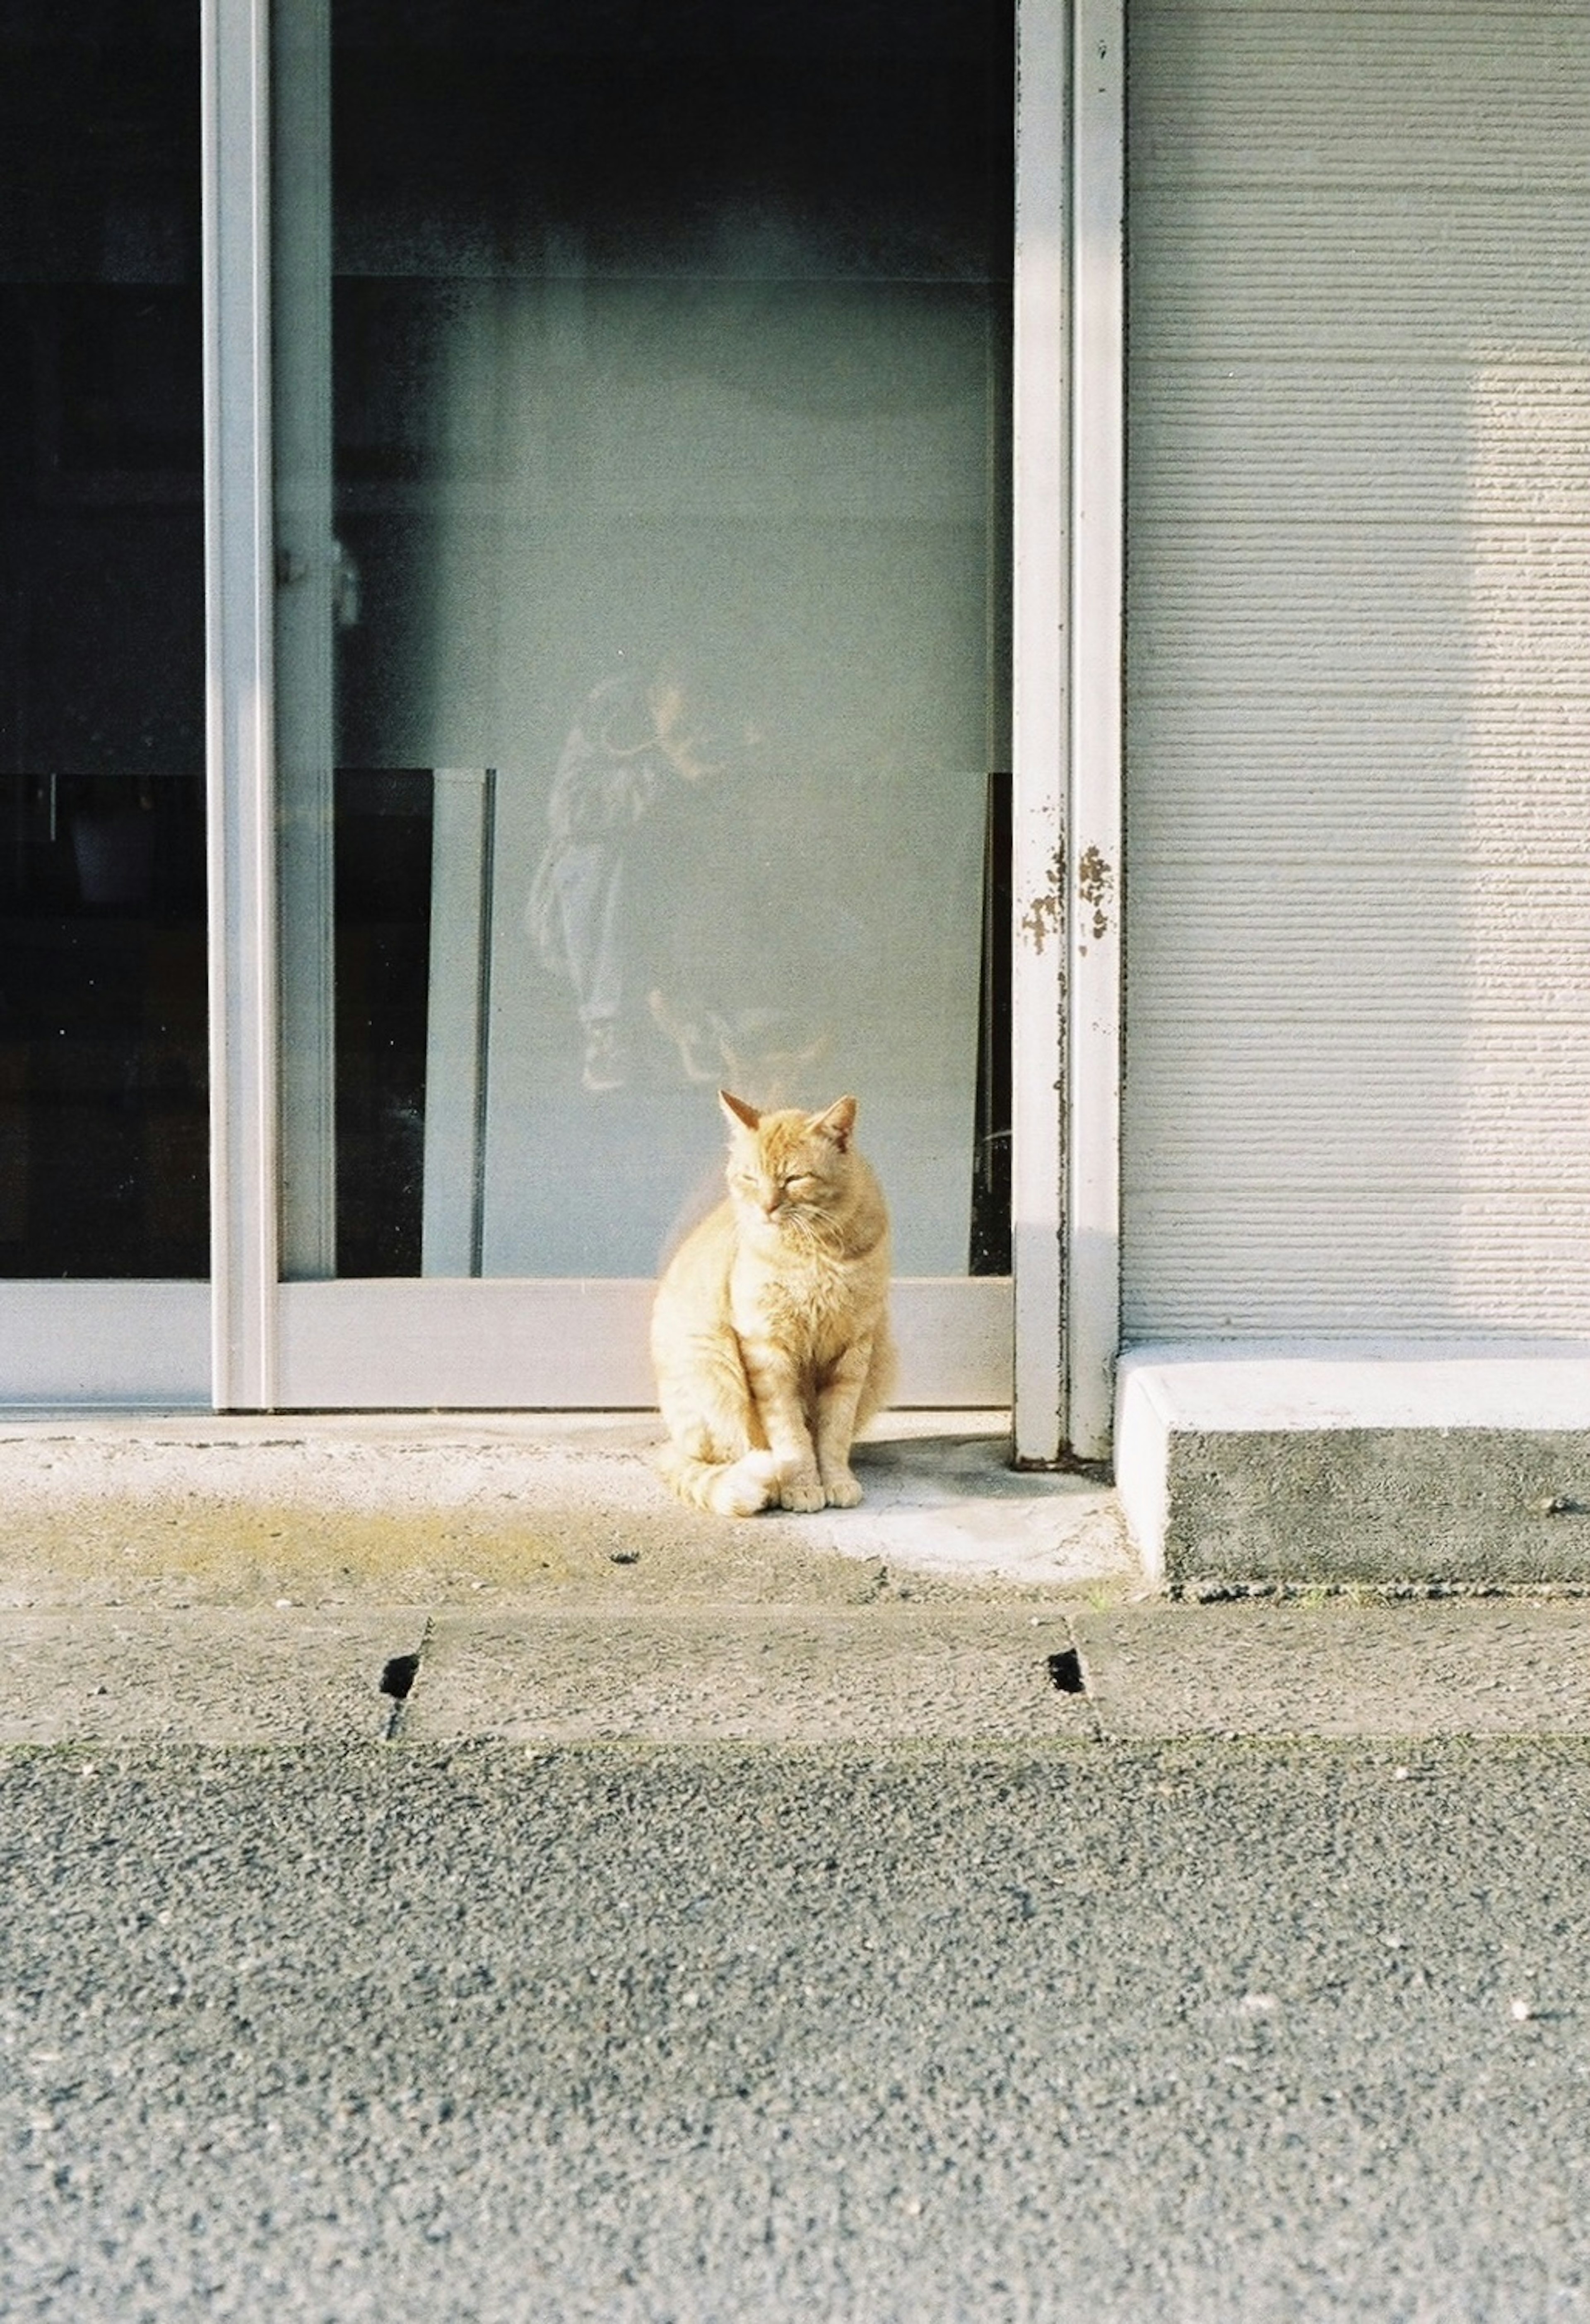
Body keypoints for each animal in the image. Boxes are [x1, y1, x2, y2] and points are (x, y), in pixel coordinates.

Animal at [650, 1092, 892, 1515]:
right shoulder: (767, 1351)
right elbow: (791, 1435)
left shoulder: (854, 1350)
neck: (815, 1252)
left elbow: (834, 1432)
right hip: (714, 1367)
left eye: (794, 1179)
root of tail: (674, 1445)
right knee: (731, 1453)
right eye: (749, 1178)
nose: (766, 1207)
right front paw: (802, 1485)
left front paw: (836, 1480)